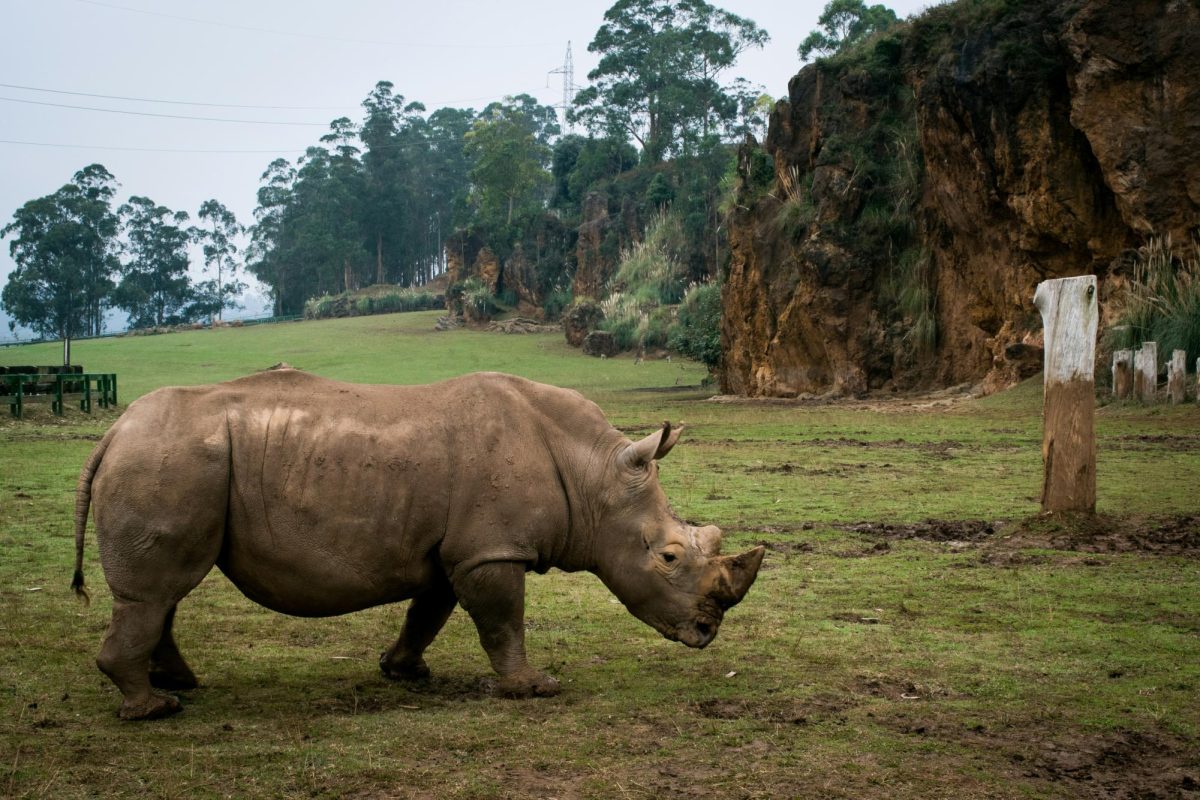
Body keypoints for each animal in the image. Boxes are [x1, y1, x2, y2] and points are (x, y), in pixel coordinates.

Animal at [71, 369, 765, 719]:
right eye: (669, 557)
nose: (706, 632)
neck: (594, 474)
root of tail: (112, 432)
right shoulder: (491, 549)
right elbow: (503, 621)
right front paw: (535, 689)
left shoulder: (455, 550)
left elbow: (429, 612)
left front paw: (404, 672)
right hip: (170, 461)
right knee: (156, 591)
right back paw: (154, 708)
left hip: (173, 460)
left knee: (164, 593)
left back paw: (179, 685)